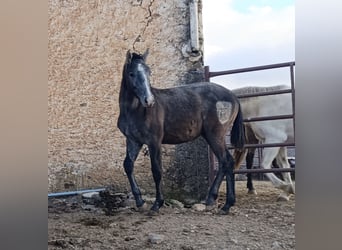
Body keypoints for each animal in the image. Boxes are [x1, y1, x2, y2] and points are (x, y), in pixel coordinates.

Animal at [116, 49, 244, 214]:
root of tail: (233, 96)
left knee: (227, 161)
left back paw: (226, 204)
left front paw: (157, 204)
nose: (149, 101)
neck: (135, 110)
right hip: (211, 136)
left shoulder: (154, 142)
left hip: (216, 135)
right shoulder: (133, 141)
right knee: (224, 162)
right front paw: (139, 201)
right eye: (131, 73)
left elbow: (157, 171)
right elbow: (128, 165)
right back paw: (212, 200)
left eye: (149, 72)